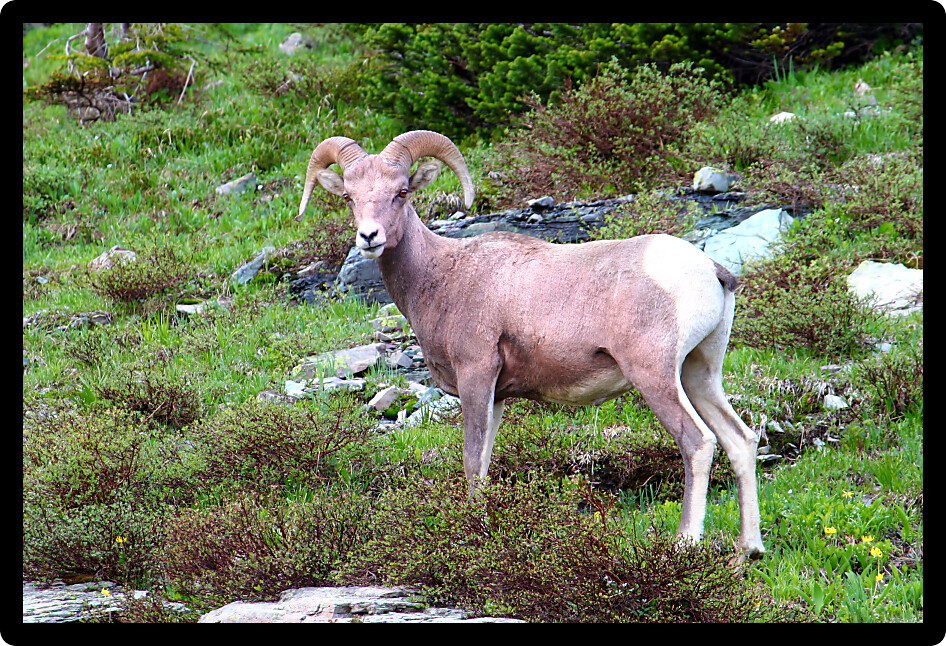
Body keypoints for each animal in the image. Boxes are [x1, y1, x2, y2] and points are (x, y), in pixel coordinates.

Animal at [298, 130, 765, 563]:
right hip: (700, 375)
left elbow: (472, 464)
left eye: (401, 192)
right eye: (350, 197)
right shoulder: (497, 396)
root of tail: (711, 270)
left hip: (656, 377)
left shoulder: (476, 377)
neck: (442, 276)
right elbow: (485, 463)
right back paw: (747, 554)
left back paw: (685, 543)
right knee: (739, 440)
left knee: (698, 443)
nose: (369, 236)